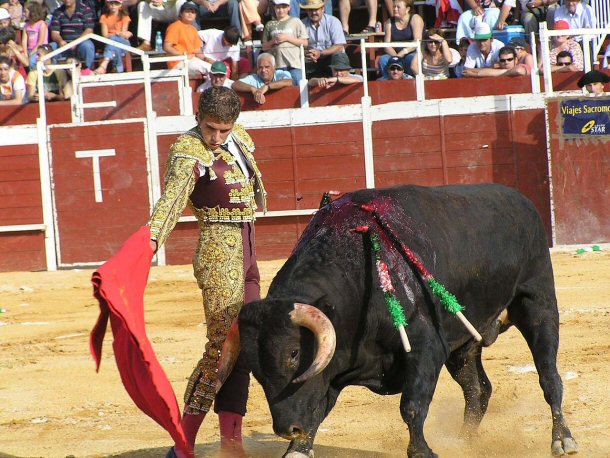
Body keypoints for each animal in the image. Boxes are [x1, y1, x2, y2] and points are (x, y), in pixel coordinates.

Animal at [217, 183, 576, 458]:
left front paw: (422, 451)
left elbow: (412, 406)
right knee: (478, 390)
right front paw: (297, 449)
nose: (286, 428)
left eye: (293, 353)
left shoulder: (425, 347)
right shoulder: (332, 372)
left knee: (549, 377)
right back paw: (464, 442)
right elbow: (317, 409)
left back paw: (563, 439)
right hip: (463, 344)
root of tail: (521, 200)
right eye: (253, 366)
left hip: (538, 303)